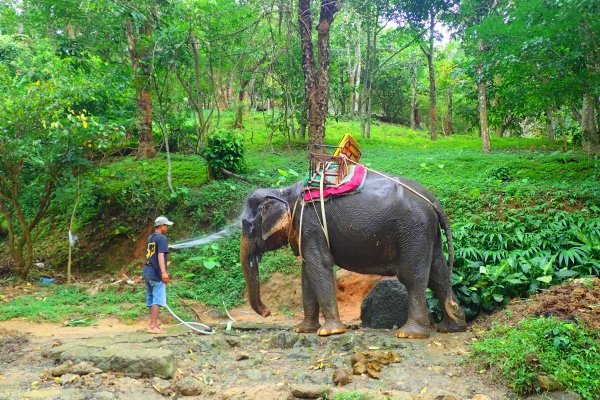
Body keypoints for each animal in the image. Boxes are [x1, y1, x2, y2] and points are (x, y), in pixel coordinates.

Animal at [240, 168, 468, 338]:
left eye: (248, 226)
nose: (267, 312)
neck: (283, 192)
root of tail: (433, 199)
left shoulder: (311, 224)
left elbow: (320, 265)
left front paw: (329, 332)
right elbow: (307, 273)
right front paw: (304, 330)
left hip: (414, 230)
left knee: (413, 277)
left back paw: (410, 334)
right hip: (429, 232)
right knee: (438, 273)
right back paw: (451, 327)